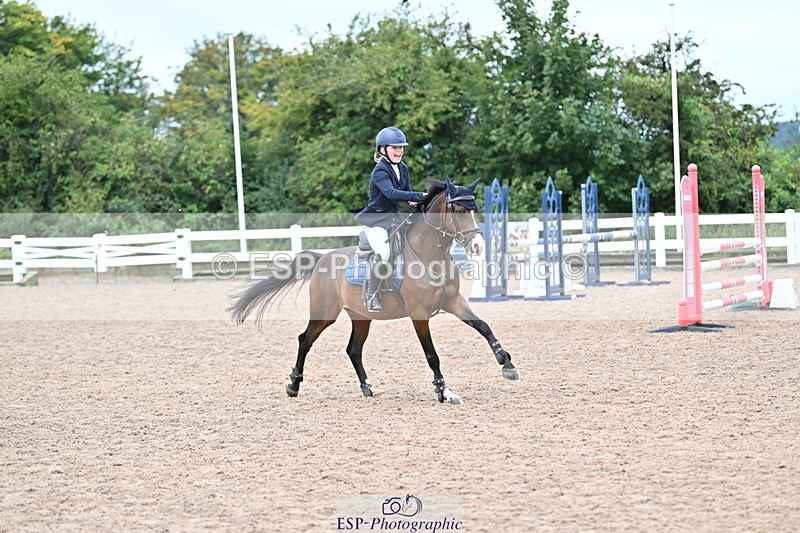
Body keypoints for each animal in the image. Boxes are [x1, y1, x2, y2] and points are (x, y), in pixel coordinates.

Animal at [228, 178, 518, 404]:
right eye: (457, 209)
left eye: (475, 209)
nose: (478, 246)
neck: (429, 255)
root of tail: (321, 259)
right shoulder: (419, 314)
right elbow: (432, 355)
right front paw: (444, 392)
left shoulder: (454, 301)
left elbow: (483, 326)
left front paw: (506, 363)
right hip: (325, 314)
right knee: (304, 340)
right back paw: (293, 385)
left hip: (361, 316)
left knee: (353, 350)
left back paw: (367, 388)